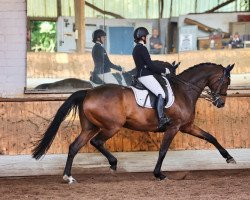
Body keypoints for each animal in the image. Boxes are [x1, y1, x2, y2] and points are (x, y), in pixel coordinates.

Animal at [32, 62, 235, 183]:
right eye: (226, 81)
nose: (221, 103)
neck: (184, 90)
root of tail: (88, 92)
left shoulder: (187, 127)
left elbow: (211, 137)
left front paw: (229, 158)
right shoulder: (174, 127)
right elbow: (163, 151)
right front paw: (159, 174)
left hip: (90, 127)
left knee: (74, 147)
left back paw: (68, 177)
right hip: (111, 126)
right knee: (96, 142)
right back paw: (113, 163)